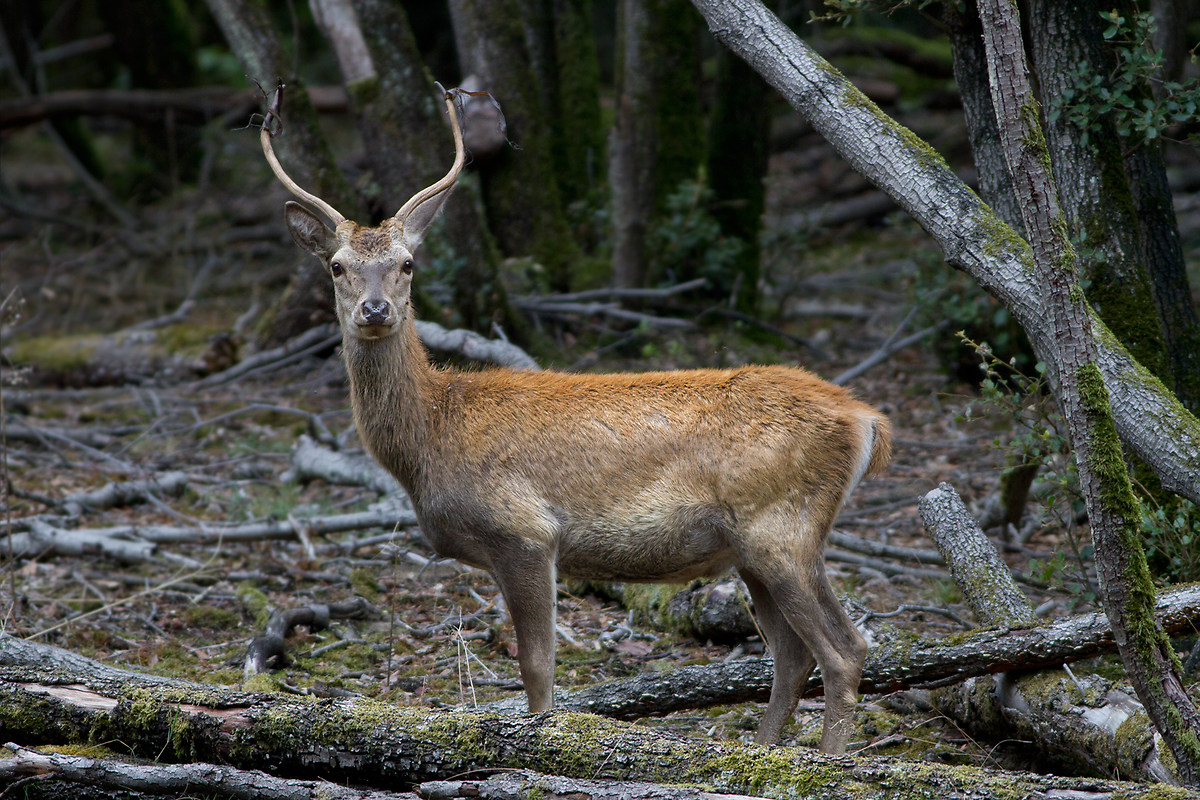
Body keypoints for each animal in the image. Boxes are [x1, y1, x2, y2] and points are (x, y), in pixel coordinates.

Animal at [257, 83, 891, 755]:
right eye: (337, 266)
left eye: (407, 264)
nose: (376, 310)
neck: (430, 440)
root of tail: (865, 419)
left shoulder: (525, 532)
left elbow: (538, 670)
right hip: (756, 546)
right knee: (793, 655)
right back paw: (766, 750)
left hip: (782, 527)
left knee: (843, 650)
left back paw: (825, 760)